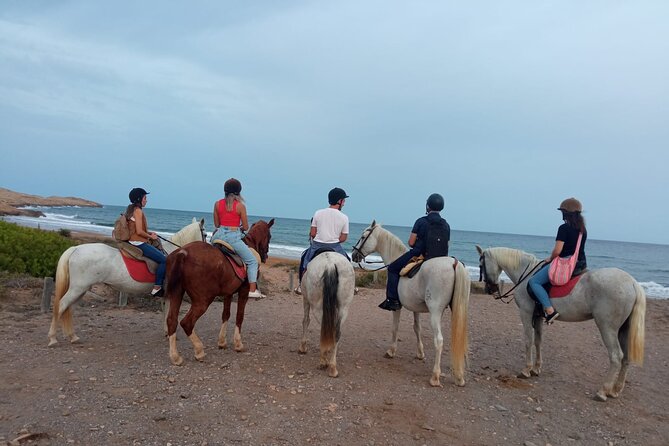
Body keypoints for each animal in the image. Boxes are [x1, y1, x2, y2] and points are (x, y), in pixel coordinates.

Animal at [47, 218, 205, 346]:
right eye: (205, 233)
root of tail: (76, 248)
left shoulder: (166, 295)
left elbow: (166, 313)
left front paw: (167, 333)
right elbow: (169, 314)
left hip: (81, 290)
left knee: (68, 309)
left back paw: (73, 337)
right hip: (78, 288)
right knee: (61, 306)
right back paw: (53, 338)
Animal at [164, 218, 274, 364]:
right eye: (270, 236)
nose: (265, 255)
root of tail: (183, 253)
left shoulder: (228, 293)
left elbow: (225, 314)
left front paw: (222, 342)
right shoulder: (244, 291)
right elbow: (239, 316)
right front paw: (238, 344)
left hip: (177, 294)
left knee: (172, 321)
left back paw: (175, 357)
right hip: (203, 300)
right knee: (186, 323)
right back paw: (199, 351)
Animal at [350, 222, 470, 386]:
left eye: (363, 237)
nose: (353, 255)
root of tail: (454, 263)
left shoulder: (396, 307)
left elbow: (395, 327)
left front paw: (391, 351)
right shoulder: (416, 308)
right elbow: (417, 328)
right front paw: (420, 353)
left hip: (435, 312)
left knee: (439, 341)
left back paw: (435, 376)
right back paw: (459, 376)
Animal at [478, 246, 644, 402]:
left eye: (481, 265)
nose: (489, 290)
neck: (526, 276)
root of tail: (632, 282)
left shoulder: (526, 313)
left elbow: (528, 341)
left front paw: (526, 370)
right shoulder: (538, 317)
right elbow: (538, 341)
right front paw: (536, 369)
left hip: (607, 328)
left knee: (616, 356)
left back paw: (603, 391)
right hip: (624, 329)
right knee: (626, 358)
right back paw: (615, 390)